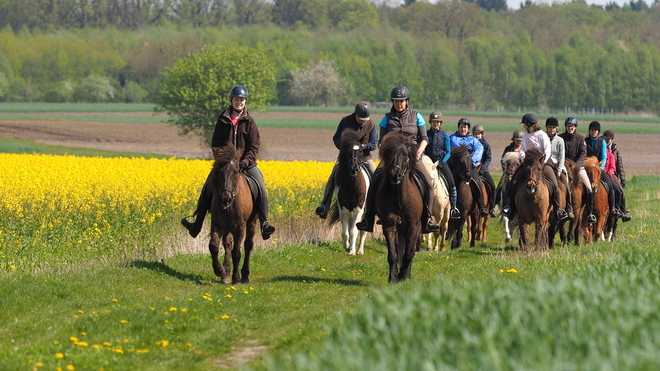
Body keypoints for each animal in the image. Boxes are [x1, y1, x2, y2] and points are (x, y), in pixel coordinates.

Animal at [209, 144, 258, 284]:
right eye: (219, 172)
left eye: (236, 172)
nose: (226, 199)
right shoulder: (217, 224)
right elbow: (214, 246)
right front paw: (219, 270)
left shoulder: (240, 227)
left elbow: (237, 252)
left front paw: (236, 278)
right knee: (228, 245)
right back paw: (226, 274)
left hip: (252, 222)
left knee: (248, 245)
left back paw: (245, 275)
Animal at [374, 132, 420, 284]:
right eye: (390, 155)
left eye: (406, 155)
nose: (395, 175)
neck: (400, 200)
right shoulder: (389, 226)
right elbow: (393, 254)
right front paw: (393, 278)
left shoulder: (413, 227)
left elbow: (408, 254)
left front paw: (404, 276)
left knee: (411, 251)